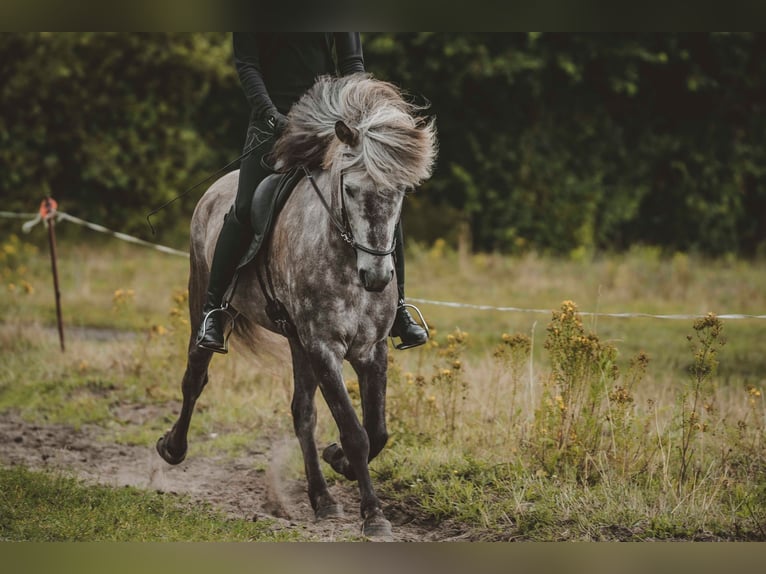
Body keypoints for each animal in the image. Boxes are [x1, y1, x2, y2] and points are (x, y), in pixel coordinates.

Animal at [156, 73, 438, 540]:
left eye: (400, 192)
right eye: (350, 188)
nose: (377, 278)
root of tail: (217, 189)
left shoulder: (370, 349)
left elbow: (377, 430)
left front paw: (338, 460)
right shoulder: (324, 346)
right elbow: (356, 431)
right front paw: (373, 515)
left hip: (295, 339)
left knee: (302, 413)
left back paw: (322, 499)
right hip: (204, 301)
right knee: (195, 376)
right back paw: (173, 448)